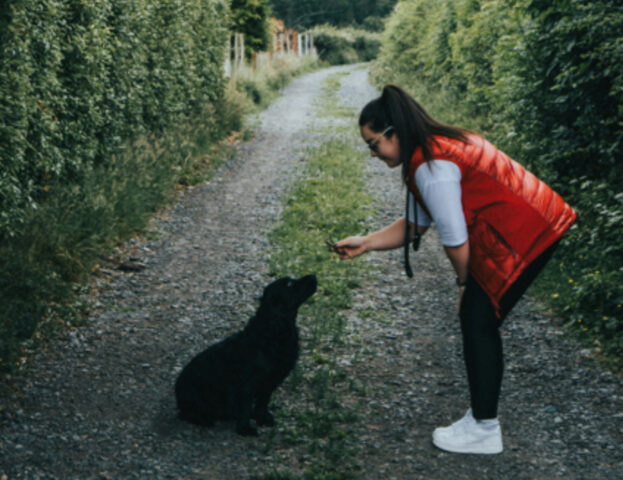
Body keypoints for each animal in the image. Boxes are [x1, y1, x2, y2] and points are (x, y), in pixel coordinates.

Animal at [174, 274, 316, 436]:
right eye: (289, 284)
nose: (314, 276)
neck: (272, 332)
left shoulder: (269, 383)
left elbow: (262, 403)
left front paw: (262, 418)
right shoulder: (247, 386)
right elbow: (246, 409)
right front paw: (245, 429)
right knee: (188, 414)